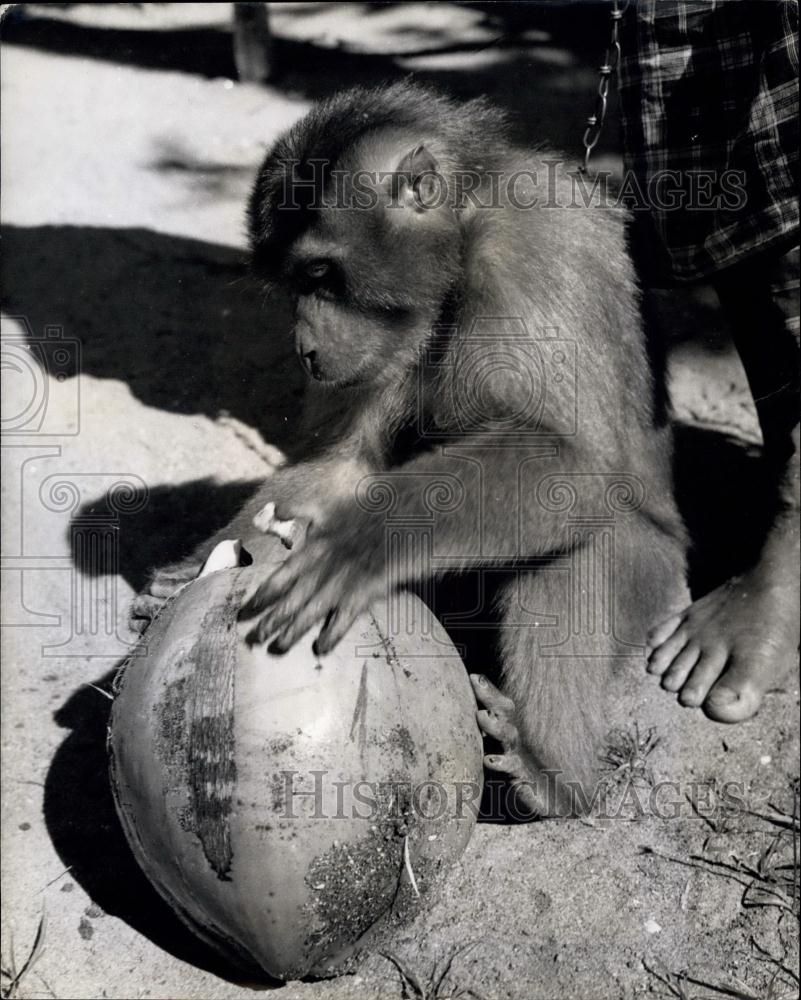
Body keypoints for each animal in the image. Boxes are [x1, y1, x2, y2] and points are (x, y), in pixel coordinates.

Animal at [131, 82, 690, 818]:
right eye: (295, 285)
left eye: (322, 274)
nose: (304, 347)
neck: (463, 237)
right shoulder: (387, 336)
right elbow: (344, 465)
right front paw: (204, 560)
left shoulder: (533, 252)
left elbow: (574, 463)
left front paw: (360, 544)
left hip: (657, 575)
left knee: (578, 546)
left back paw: (552, 776)